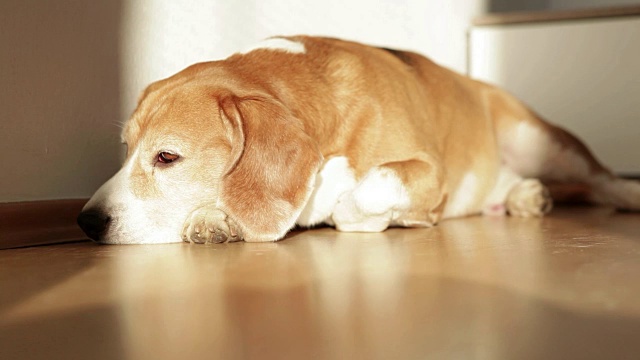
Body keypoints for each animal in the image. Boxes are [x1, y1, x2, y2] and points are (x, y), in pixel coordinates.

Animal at [76, 35, 640, 245]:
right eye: (126, 151)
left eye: (167, 156)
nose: (85, 222)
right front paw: (215, 219)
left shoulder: (428, 170)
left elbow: (365, 190)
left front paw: (363, 215)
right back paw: (524, 197)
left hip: (539, 139)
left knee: (601, 179)